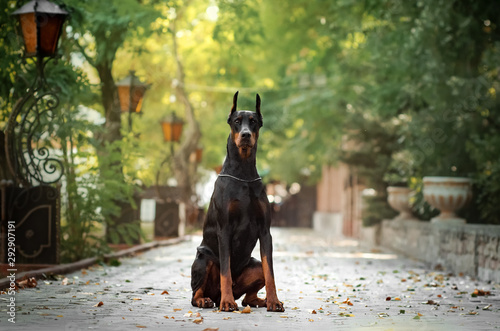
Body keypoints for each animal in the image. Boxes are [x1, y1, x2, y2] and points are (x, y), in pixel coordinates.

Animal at [190, 91, 286, 314]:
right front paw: (227, 303)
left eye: (253, 122)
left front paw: (274, 301)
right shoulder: (224, 229)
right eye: (236, 121)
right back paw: (209, 300)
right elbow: (225, 270)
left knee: (247, 297)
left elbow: (270, 272)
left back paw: (260, 301)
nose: (245, 135)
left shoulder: (265, 231)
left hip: (254, 265)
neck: (243, 172)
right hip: (203, 258)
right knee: (195, 293)